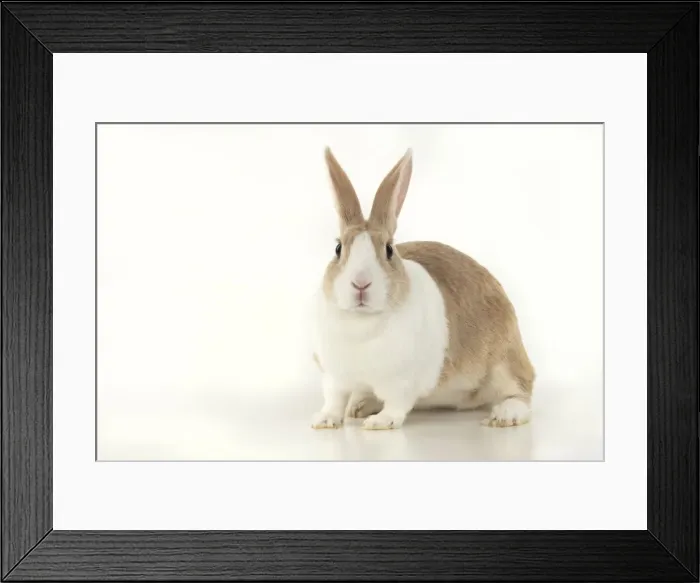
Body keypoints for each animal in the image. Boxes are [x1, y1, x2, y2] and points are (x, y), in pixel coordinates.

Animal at [310, 146, 535, 430]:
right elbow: (334, 400)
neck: (362, 323)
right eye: (338, 249)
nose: (360, 283)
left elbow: (396, 404)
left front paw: (380, 423)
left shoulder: (402, 381)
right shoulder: (334, 375)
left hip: (504, 362)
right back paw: (359, 406)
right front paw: (324, 420)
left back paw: (505, 415)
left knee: (522, 389)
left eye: (389, 250)